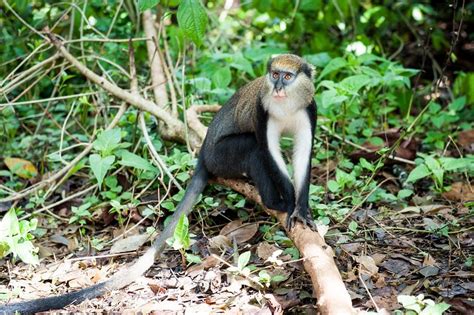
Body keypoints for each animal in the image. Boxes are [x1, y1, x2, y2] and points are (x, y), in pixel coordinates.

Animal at [0, 53, 318, 314]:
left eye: (287, 77)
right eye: (274, 74)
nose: (277, 87)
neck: (285, 105)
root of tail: (203, 154)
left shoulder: (309, 110)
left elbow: (303, 155)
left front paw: (301, 208)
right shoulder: (262, 112)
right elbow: (267, 151)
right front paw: (289, 201)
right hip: (221, 157)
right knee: (252, 149)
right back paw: (274, 202)